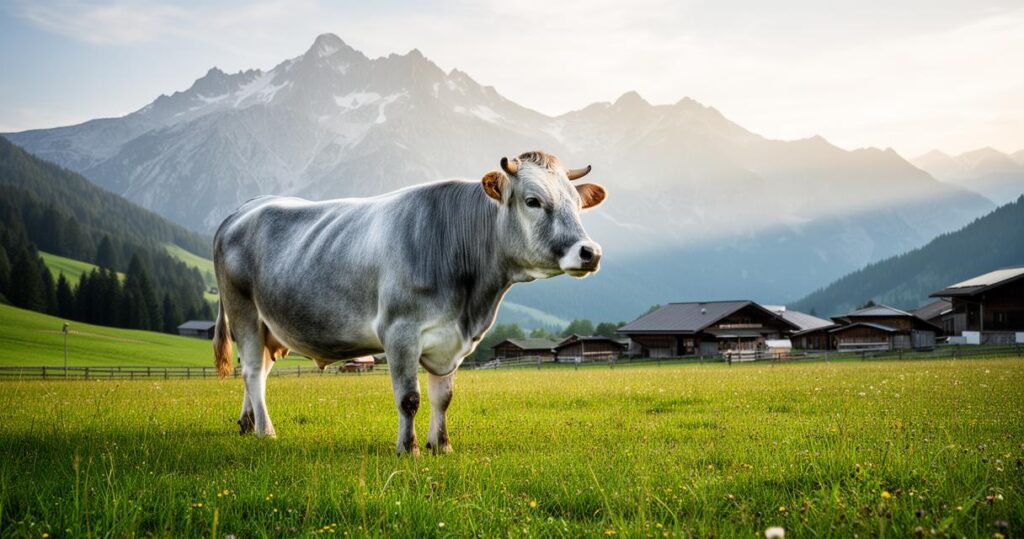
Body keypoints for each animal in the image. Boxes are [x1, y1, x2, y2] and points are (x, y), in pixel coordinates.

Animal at [212, 151, 607, 455]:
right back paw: (266, 431)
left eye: (577, 205)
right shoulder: (400, 332)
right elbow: (410, 398)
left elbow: (443, 397)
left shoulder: (450, 340)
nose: (590, 252)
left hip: (270, 326)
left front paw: (441, 445)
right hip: (243, 311)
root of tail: (241, 211)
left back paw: (247, 423)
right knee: (252, 372)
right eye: (533, 201)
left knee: (261, 370)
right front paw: (409, 448)